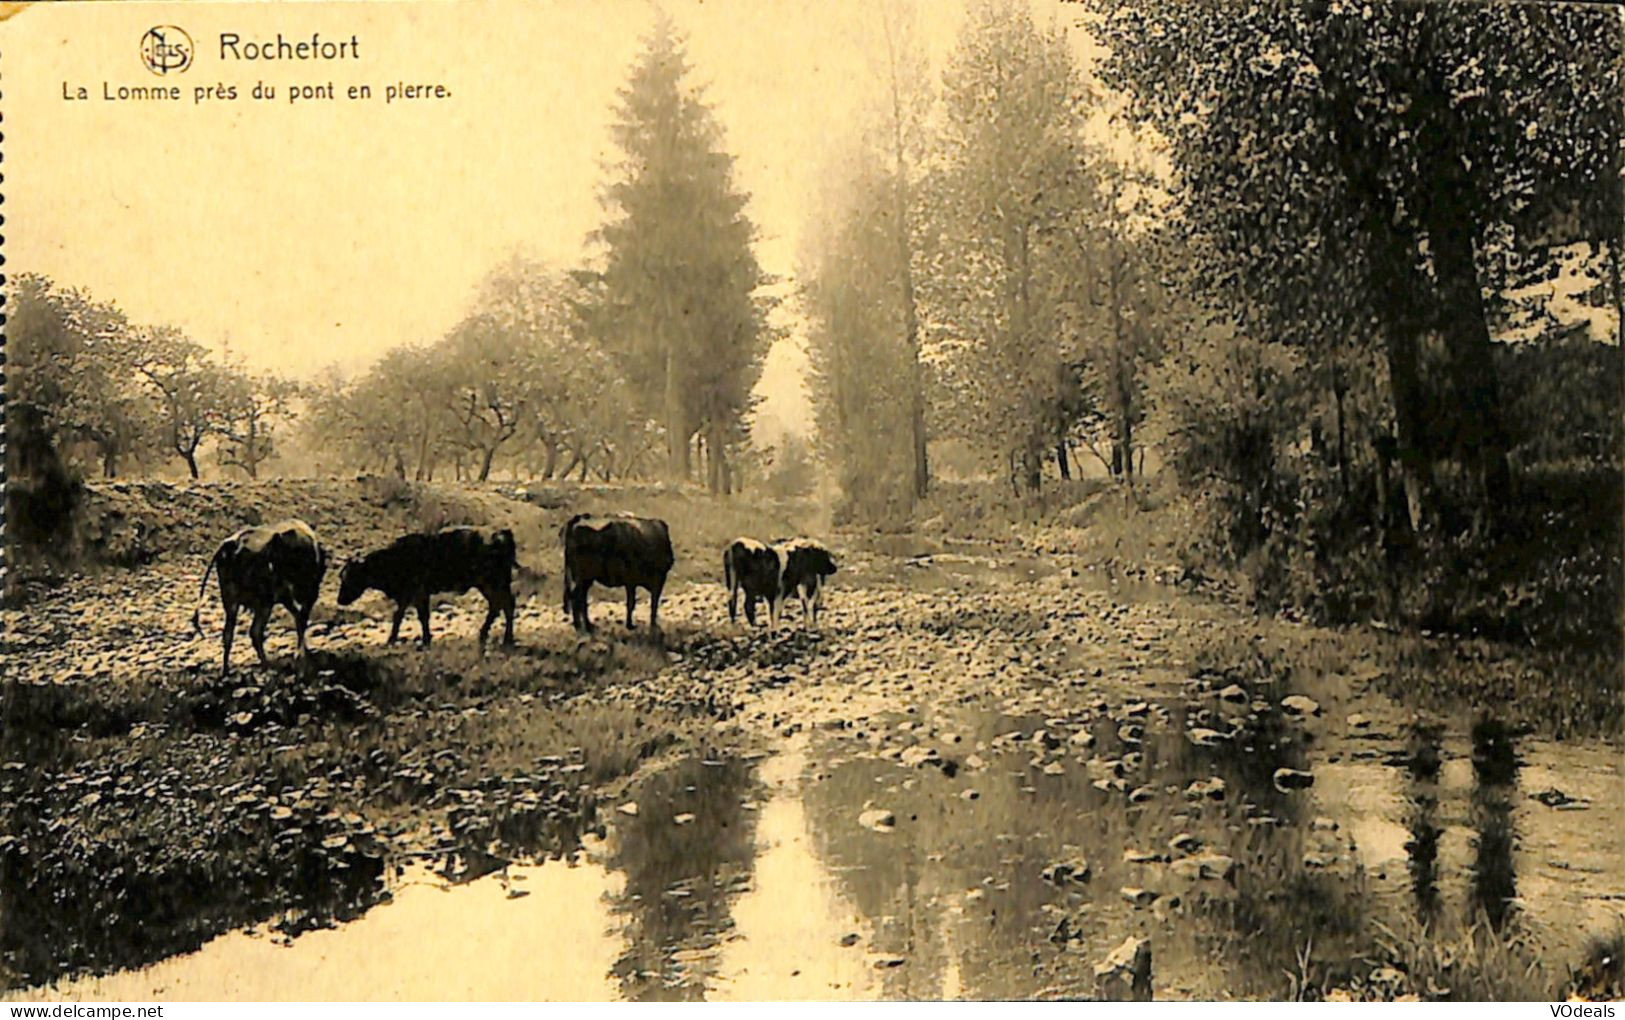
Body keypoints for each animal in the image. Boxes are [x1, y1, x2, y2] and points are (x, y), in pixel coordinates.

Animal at [189, 516, 326, 678]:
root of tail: (233, 544)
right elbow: (301, 620)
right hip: (264, 603)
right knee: (256, 632)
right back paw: (268, 665)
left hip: (231, 602)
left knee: (228, 635)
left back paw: (226, 670)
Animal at [339, 526, 516, 646]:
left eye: (350, 577)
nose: (339, 600)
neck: (396, 558)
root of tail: (500, 535)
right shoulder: (410, 595)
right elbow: (406, 616)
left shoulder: (416, 592)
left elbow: (415, 616)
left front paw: (415, 640)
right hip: (491, 585)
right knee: (500, 606)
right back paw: (490, 635)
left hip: (492, 583)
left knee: (504, 605)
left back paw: (504, 638)